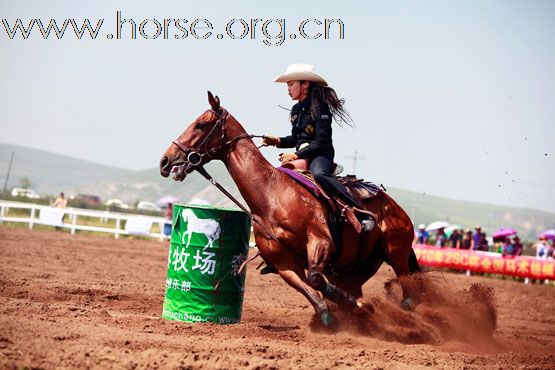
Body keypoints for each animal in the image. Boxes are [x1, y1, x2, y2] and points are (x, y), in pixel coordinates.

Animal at [159, 92, 420, 326]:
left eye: (201, 124)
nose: (165, 161)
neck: (272, 195)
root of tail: (395, 208)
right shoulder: (283, 263)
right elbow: (311, 290)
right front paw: (336, 313)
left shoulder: (321, 240)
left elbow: (315, 278)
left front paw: (360, 307)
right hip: (354, 267)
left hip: (396, 251)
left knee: (410, 290)